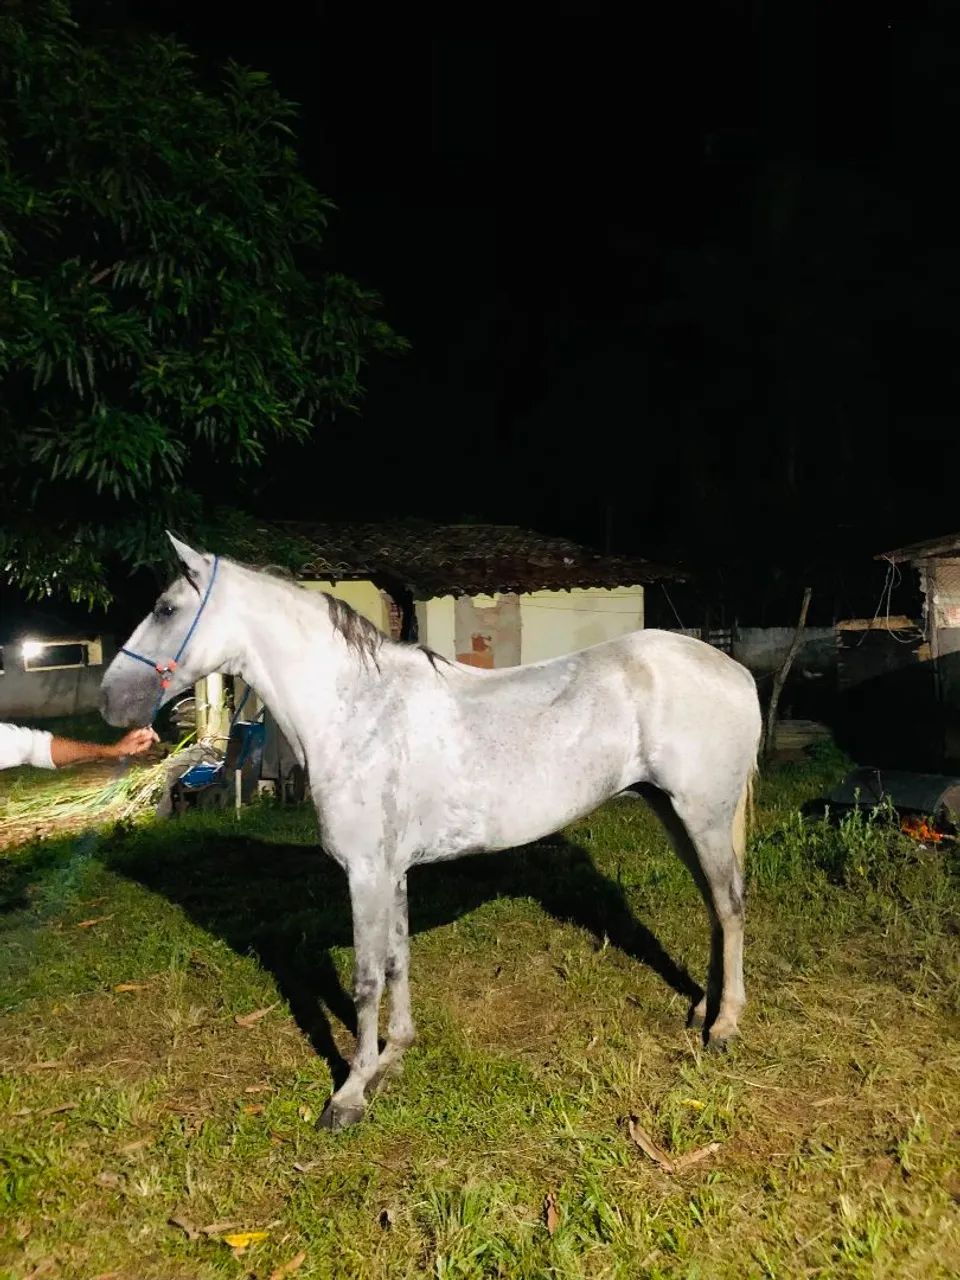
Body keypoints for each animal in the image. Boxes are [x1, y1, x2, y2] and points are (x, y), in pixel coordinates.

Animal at [100, 534, 762, 1130]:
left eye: (165, 609)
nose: (110, 701)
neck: (356, 711)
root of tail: (733, 670)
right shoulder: (391, 873)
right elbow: (398, 960)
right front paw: (393, 1056)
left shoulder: (365, 873)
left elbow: (366, 979)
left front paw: (351, 1093)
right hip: (676, 814)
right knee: (715, 906)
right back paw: (702, 1008)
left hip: (701, 814)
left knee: (729, 907)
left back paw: (725, 1025)